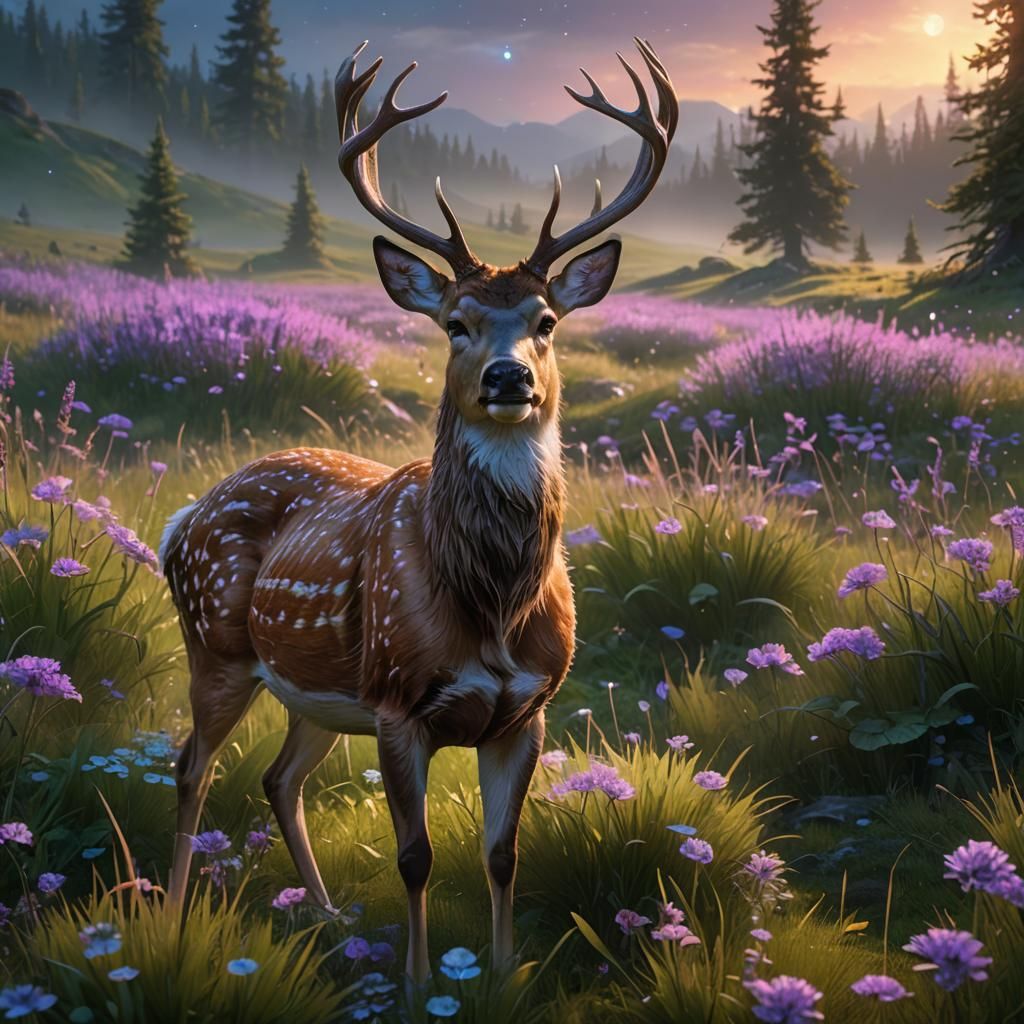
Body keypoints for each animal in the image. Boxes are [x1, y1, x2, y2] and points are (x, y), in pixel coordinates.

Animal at [162, 38, 677, 984]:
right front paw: (416, 977)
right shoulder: (400, 701)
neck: (491, 606)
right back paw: (173, 918)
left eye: (547, 320)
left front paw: (504, 971)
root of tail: (185, 517)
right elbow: (415, 856)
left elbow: (503, 853)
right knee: (192, 768)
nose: (509, 378)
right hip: (216, 644)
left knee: (279, 778)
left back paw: (329, 915)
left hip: (318, 691)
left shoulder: (528, 708)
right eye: (454, 322)